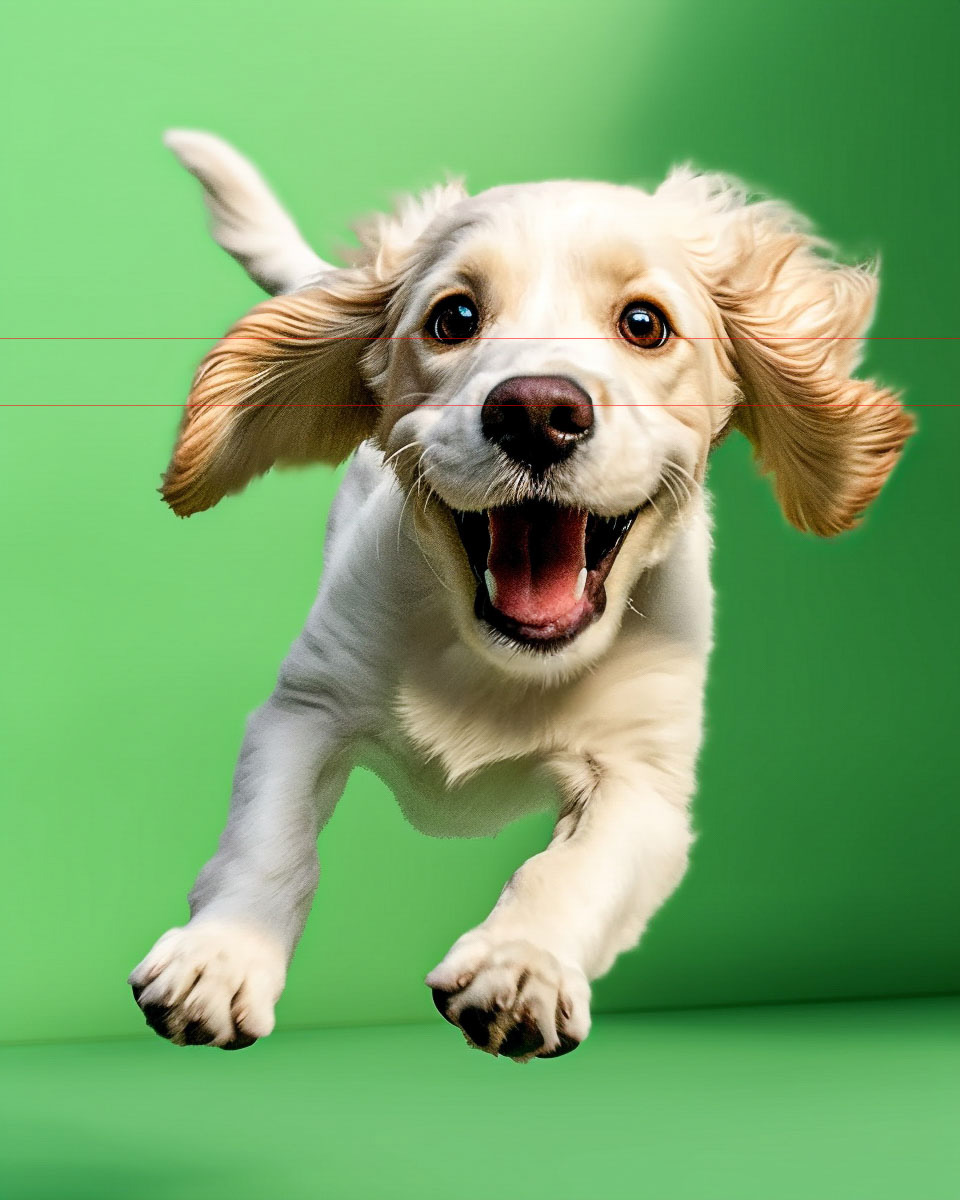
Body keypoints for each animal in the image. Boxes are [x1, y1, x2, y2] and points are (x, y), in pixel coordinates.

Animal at [129, 131, 916, 1060]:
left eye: (644, 324)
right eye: (454, 318)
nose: (538, 412)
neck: (499, 663)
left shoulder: (647, 783)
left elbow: (574, 870)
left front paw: (520, 966)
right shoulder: (304, 710)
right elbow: (269, 841)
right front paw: (219, 958)